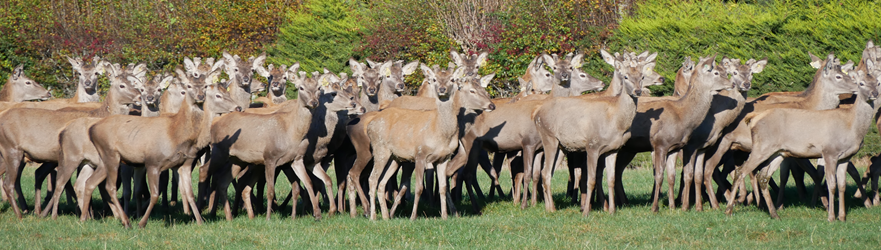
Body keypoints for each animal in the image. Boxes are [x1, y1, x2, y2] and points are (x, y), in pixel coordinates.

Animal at [0, 63, 144, 219]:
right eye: (122, 85)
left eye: (135, 82)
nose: (140, 96)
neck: (101, 114)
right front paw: (91, 213)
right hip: (12, 150)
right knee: (9, 182)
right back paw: (21, 214)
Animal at [724, 66, 876, 221]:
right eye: (861, 83)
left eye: (877, 83)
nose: (874, 94)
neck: (852, 128)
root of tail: (753, 119)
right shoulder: (829, 152)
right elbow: (831, 184)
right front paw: (831, 217)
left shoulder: (845, 157)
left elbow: (842, 185)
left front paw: (843, 217)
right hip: (760, 148)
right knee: (741, 171)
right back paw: (729, 209)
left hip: (777, 152)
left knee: (763, 176)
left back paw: (774, 213)